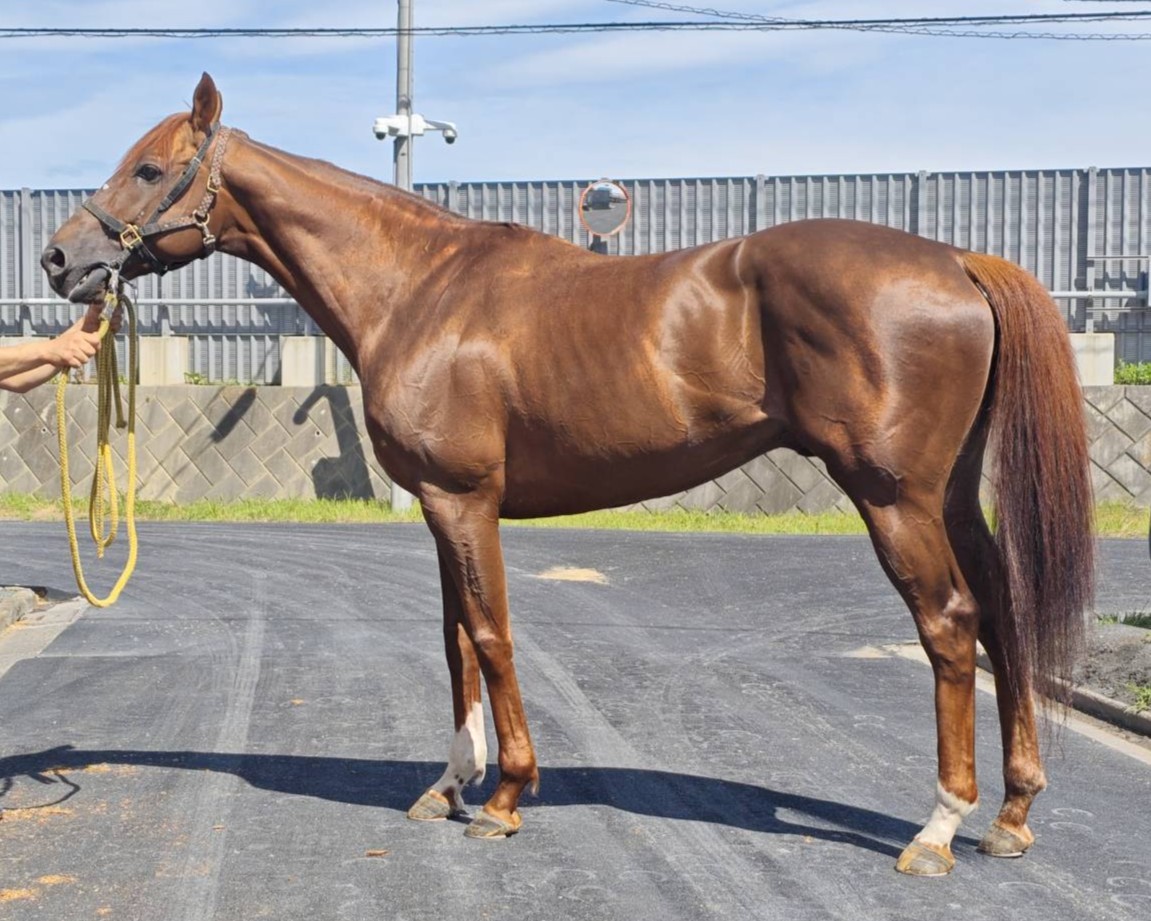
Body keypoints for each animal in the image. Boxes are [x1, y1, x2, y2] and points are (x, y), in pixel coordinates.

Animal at [41, 73, 1094, 877]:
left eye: (148, 168)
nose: (60, 259)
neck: (418, 287)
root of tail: (955, 258)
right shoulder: (439, 507)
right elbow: (454, 641)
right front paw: (448, 784)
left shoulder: (466, 501)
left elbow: (491, 636)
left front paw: (506, 794)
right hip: (948, 494)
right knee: (1000, 612)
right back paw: (1010, 815)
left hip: (892, 498)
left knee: (949, 626)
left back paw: (937, 827)